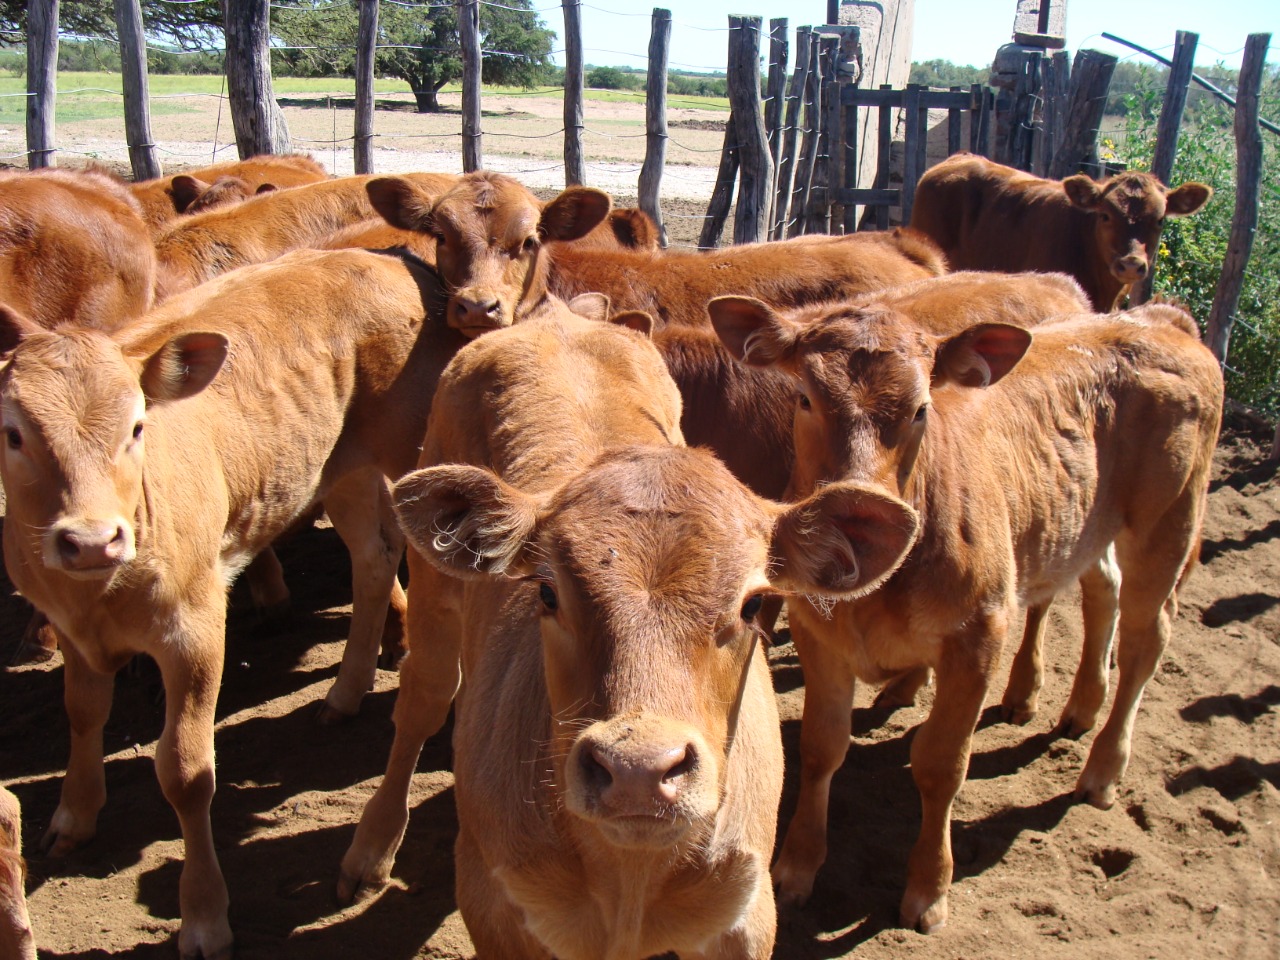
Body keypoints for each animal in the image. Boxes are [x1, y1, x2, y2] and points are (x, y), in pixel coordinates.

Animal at [0, 245, 476, 957]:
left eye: (137, 427)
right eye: (12, 434)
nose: (89, 540)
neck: (97, 595)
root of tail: (388, 256)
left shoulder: (195, 627)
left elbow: (186, 771)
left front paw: (204, 916)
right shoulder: (69, 627)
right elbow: (82, 712)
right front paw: (74, 814)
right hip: (337, 468)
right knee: (371, 559)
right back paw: (346, 691)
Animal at [340, 312, 921, 957]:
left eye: (754, 604)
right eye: (546, 592)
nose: (638, 772)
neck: (629, 883)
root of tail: (556, 316)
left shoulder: (745, 915)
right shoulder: (492, 907)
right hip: (434, 594)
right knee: (423, 699)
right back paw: (370, 849)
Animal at [711, 296, 1218, 936]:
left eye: (922, 408)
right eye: (804, 397)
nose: (859, 506)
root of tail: (1156, 318)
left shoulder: (978, 636)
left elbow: (941, 764)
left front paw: (929, 890)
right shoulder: (817, 632)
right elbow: (823, 747)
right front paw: (798, 867)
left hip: (1167, 523)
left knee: (1145, 642)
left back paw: (1103, 768)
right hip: (1090, 524)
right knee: (1103, 588)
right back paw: (1080, 706)